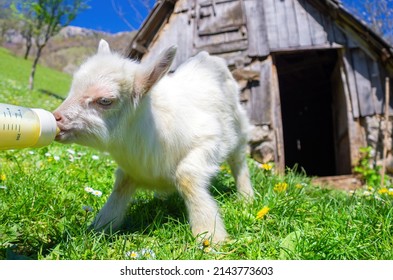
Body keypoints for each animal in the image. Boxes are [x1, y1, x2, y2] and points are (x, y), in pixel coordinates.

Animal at [52, 39, 254, 243]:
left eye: (105, 100)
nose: (56, 118)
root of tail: (207, 57)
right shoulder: (132, 168)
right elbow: (121, 187)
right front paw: (100, 228)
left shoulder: (209, 139)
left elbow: (186, 177)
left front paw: (210, 236)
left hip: (239, 128)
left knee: (239, 161)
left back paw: (246, 197)